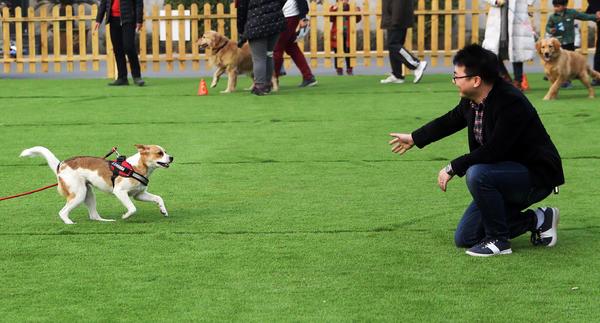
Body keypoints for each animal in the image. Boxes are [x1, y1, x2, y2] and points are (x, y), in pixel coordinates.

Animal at [19, 145, 173, 224]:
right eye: (159, 153)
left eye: (165, 152)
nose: (171, 157)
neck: (135, 167)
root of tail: (61, 165)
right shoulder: (120, 192)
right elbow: (132, 208)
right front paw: (125, 216)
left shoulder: (139, 194)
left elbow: (158, 198)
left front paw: (163, 210)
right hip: (79, 194)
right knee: (62, 212)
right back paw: (69, 223)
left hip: (88, 194)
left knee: (93, 215)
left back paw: (106, 220)